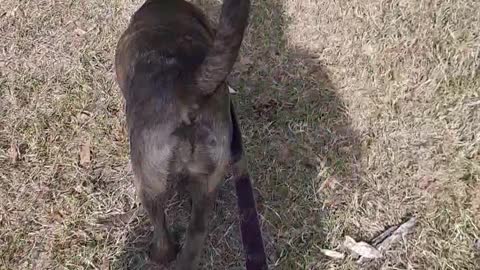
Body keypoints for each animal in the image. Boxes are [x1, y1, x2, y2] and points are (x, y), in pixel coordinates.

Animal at [116, 0, 251, 268]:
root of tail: (190, 89)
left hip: (147, 183)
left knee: (161, 234)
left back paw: (159, 256)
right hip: (206, 182)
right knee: (196, 234)